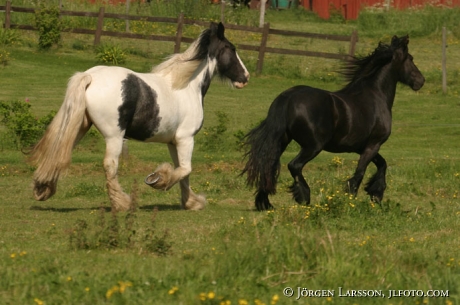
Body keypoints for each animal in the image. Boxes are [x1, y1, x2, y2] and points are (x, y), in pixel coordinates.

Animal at [30, 22, 250, 210]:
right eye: (231, 48)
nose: (245, 77)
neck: (187, 86)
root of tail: (90, 76)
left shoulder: (174, 142)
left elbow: (182, 171)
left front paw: (191, 203)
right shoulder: (186, 138)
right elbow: (185, 169)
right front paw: (158, 179)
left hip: (80, 127)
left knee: (59, 152)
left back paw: (43, 188)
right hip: (114, 136)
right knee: (110, 165)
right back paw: (123, 203)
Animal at [243, 34, 426, 210]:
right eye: (410, 58)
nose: (421, 81)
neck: (375, 95)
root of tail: (287, 98)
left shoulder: (362, 147)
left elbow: (382, 164)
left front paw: (375, 194)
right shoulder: (373, 144)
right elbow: (360, 173)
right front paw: (352, 200)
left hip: (283, 141)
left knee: (269, 165)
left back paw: (264, 203)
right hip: (313, 146)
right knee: (294, 166)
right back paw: (304, 197)